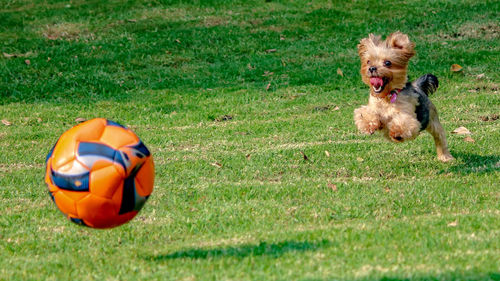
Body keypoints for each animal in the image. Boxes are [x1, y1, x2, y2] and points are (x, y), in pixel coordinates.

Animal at [354, 31, 456, 161]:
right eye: (368, 61)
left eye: (387, 63)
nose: (372, 68)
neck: (387, 97)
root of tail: (417, 86)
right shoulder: (374, 107)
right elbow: (366, 113)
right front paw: (369, 125)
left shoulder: (408, 116)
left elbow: (403, 122)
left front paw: (397, 132)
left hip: (432, 120)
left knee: (440, 137)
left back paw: (445, 157)